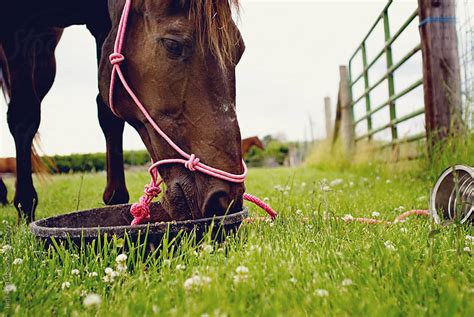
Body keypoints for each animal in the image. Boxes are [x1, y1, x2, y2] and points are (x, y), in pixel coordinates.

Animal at [2, 0, 248, 222]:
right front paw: (25, 207)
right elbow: (24, 115)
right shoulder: (16, 25)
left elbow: (108, 114)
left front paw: (115, 198)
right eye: (172, 44)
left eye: (240, 49)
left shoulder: (104, 26)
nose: (225, 198)